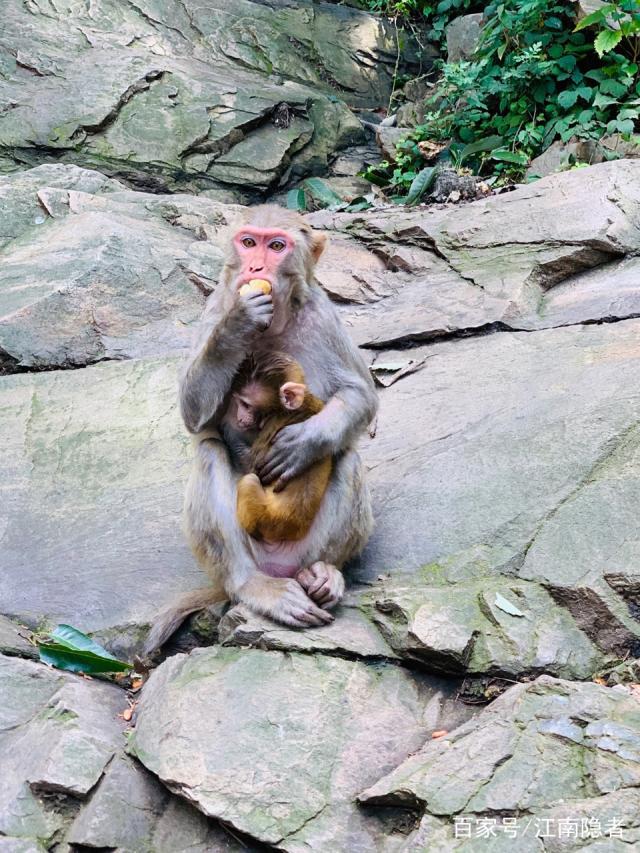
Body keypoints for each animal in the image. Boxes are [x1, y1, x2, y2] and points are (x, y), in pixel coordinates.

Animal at [222, 352, 332, 540]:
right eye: (240, 403)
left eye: (245, 404)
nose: (239, 417)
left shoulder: (273, 424)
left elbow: (251, 467)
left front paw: (226, 424)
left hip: (262, 517)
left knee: (249, 480)